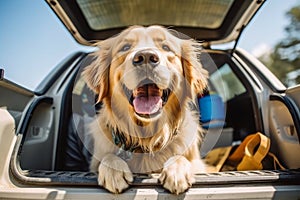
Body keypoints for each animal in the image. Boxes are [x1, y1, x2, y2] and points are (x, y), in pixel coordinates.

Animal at [83, 25, 207, 194]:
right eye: (125, 47)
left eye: (166, 47)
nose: (146, 56)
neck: (146, 138)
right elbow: (107, 157)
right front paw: (114, 169)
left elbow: (182, 158)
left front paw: (177, 171)